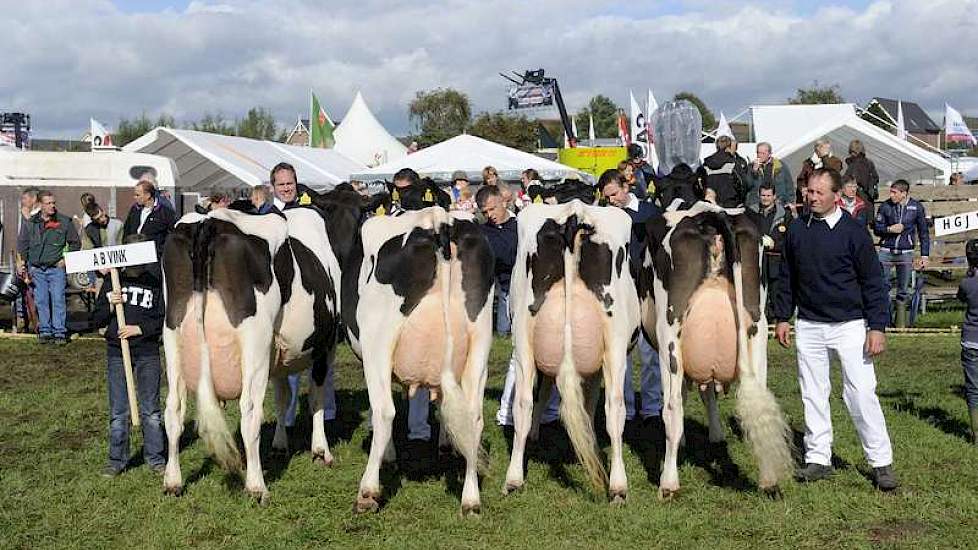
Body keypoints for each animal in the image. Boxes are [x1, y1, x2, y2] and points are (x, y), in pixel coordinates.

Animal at [344, 205, 496, 516]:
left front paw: (389, 457)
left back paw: (367, 492)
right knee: (474, 416)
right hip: (480, 344)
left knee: (384, 412)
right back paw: (471, 499)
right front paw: (447, 445)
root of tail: (438, 219)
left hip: (378, 344)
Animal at [500, 202, 636, 504]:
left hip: (523, 340)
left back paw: (513, 479)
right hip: (615, 346)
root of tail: (575, 212)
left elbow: (546, 394)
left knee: (523, 403)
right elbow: (590, 402)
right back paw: (618, 486)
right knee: (615, 407)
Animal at [640, 202, 792, 500]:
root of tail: (711, 214)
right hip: (757, 327)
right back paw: (769, 479)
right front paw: (716, 435)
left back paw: (668, 483)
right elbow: (706, 389)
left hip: (669, 332)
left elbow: (688, 393)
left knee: (672, 407)